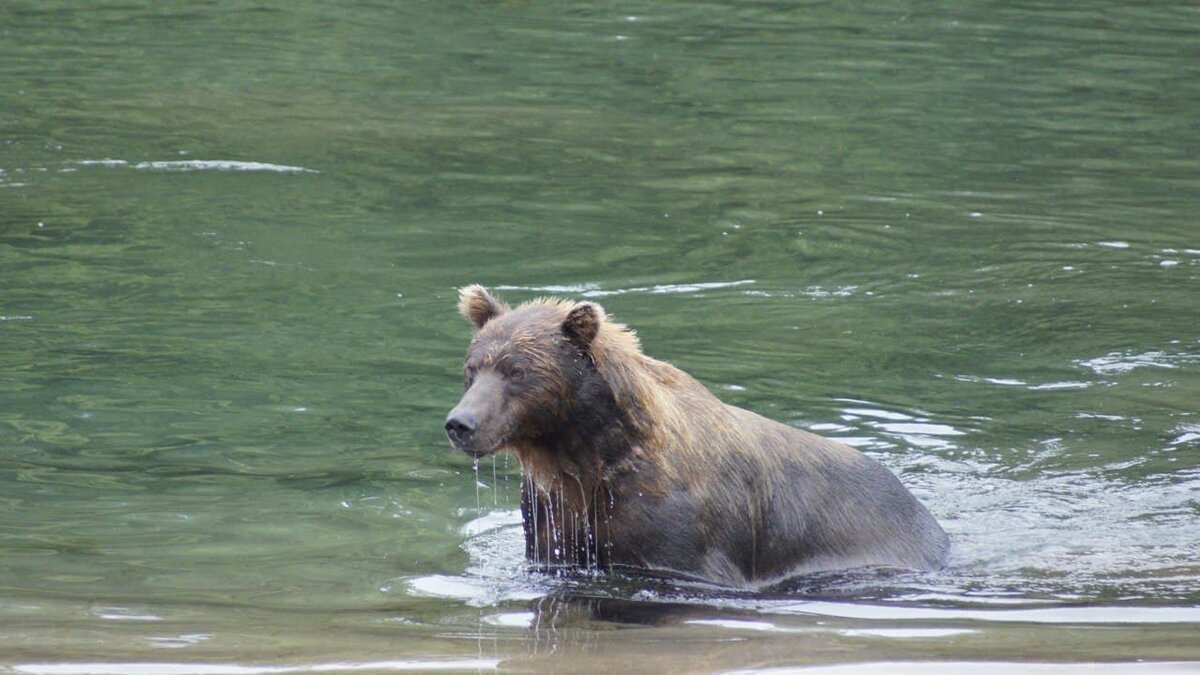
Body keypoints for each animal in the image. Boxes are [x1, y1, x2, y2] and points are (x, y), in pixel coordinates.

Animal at [441, 281, 945, 586]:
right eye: (472, 368)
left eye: (517, 371)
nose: (460, 423)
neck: (590, 451)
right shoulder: (556, 516)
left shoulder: (679, 531)